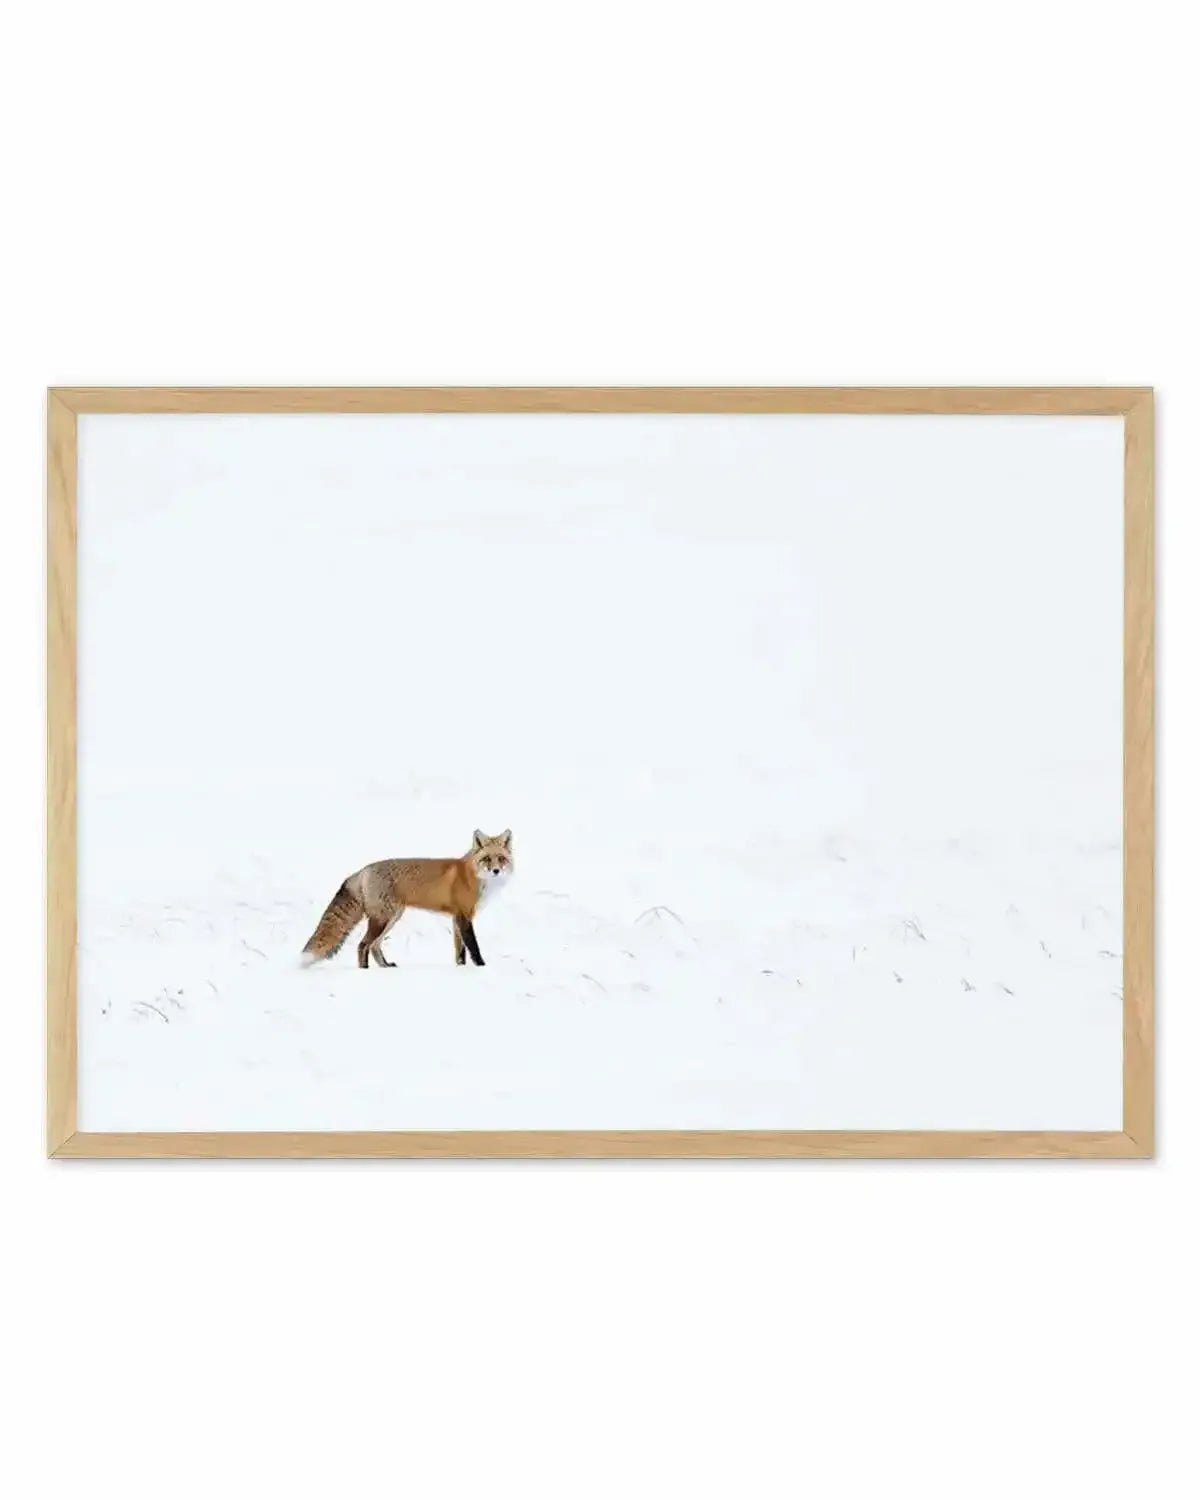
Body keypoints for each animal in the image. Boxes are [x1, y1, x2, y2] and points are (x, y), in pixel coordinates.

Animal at [301, 829, 513, 970]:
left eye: (501, 859)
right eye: (487, 859)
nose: (496, 871)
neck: (474, 876)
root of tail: (364, 870)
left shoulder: (456, 918)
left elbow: (459, 950)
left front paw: (460, 968)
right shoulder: (463, 916)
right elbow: (473, 947)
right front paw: (482, 967)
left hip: (392, 918)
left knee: (374, 946)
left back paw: (385, 966)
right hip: (383, 919)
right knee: (363, 945)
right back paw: (365, 971)